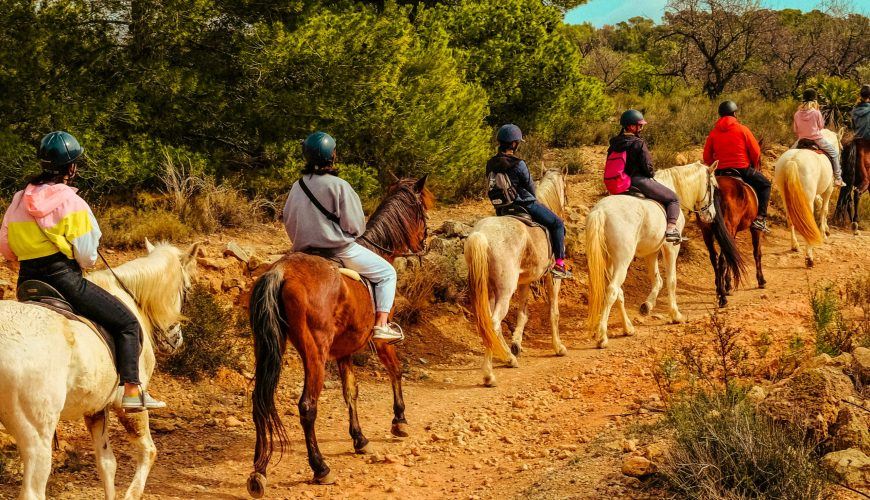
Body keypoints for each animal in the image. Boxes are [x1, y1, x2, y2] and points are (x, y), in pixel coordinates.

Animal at [0, 240, 198, 498]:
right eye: (187, 289)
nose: (175, 341)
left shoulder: (95, 410)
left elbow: (107, 464)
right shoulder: (127, 406)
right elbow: (148, 451)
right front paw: (132, 494)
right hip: (36, 436)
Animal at [247, 176, 434, 496]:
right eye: (422, 210)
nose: (423, 242)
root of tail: (280, 273)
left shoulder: (345, 351)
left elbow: (351, 391)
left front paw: (359, 438)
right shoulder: (380, 340)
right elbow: (395, 370)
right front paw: (399, 420)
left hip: (268, 346)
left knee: (260, 399)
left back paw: (259, 472)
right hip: (315, 353)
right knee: (307, 406)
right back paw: (320, 468)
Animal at [466, 168, 568, 386]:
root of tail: (482, 235)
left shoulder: (524, 282)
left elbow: (523, 313)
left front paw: (517, 344)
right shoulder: (552, 278)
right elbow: (553, 313)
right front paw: (558, 347)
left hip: (489, 290)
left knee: (489, 325)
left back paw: (508, 358)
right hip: (504, 291)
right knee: (494, 323)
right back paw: (489, 375)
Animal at [584, 161, 724, 348]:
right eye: (714, 187)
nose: (711, 215)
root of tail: (601, 211)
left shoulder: (651, 253)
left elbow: (657, 280)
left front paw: (647, 306)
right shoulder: (671, 247)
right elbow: (671, 280)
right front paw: (675, 315)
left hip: (609, 263)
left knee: (618, 292)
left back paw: (628, 328)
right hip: (622, 261)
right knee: (613, 291)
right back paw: (602, 337)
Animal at [776, 129, 844, 268]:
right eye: (842, 148)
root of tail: (792, 161)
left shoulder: (817, 192)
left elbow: (820, 203)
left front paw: (826, 229)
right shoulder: (828, 190)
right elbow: (824, 209)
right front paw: (824, 233)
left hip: (786, 197)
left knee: (790, 218)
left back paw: (795, 246)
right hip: (807, 198)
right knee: (807, 220)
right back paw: (809, 258)